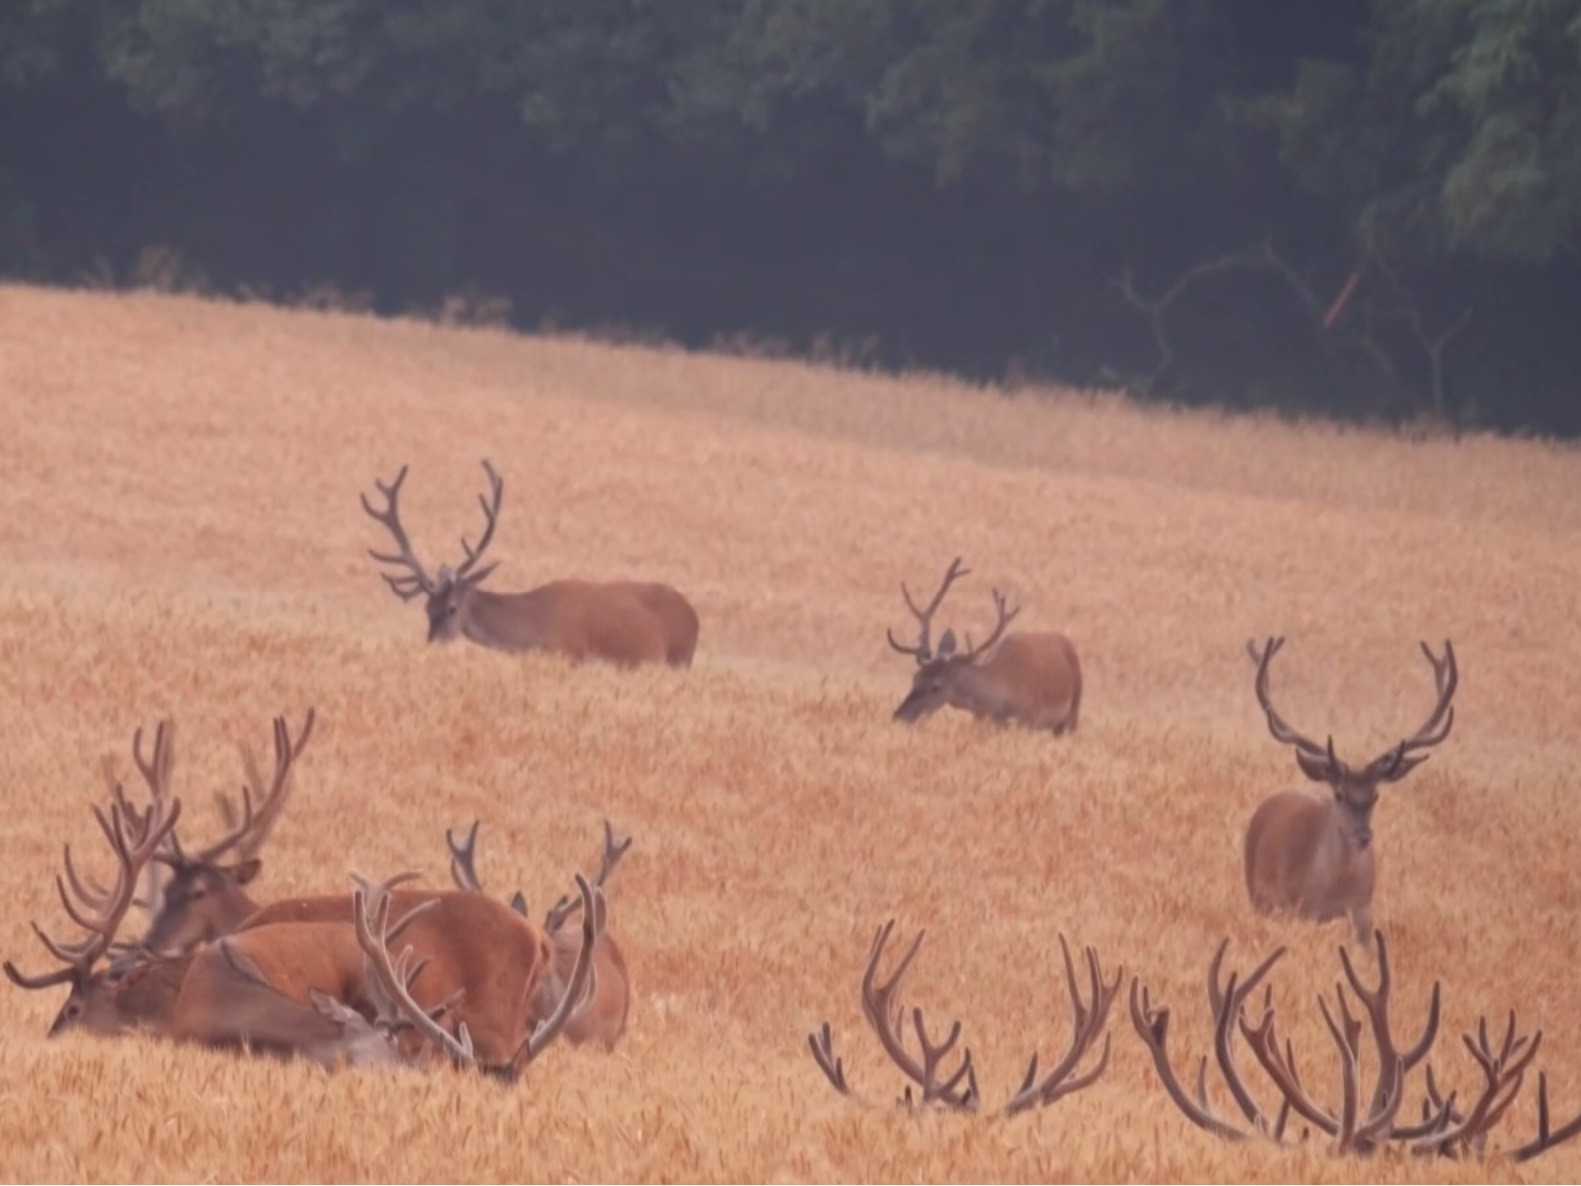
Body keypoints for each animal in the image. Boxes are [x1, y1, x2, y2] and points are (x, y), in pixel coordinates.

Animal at [366, 458, 701, 670]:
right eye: (427, 609)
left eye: (451, 608)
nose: (432, 646)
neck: (535, 627)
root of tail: (693, 614)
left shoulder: (572, 655)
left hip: (680, 658)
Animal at [885, 556, 1081, 733]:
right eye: (915, 677)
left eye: (936, 686)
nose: (899, 716)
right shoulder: (982, 720)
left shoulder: (1030, 719)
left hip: (1071, 714)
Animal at [1245, 642, 1454, 948]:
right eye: (1339, 793)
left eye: (1376, 795)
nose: (1364, 836)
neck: (1333, 889)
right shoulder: (1294, 907)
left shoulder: (1362, 910)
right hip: (1258, 894)